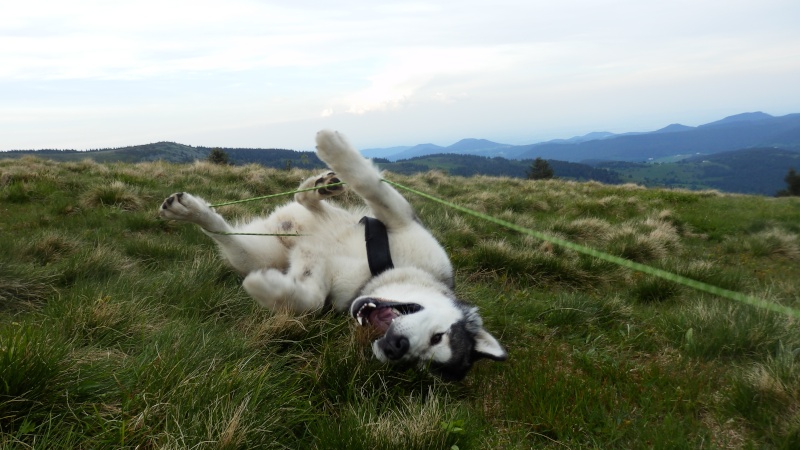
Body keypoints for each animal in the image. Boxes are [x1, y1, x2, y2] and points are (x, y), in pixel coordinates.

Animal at [159, 130, 504, 380]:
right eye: (438, 337)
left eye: (417, 365)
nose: (396, 349)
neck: (376, 275)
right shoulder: (400, 220)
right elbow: (370, 182)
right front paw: (332, 145)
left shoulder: (320, 284)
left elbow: (309, 301)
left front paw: (267, 288)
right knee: (305, 199)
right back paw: (320, 185)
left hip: (255, 253)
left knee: (225, 234)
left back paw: (191, 212)